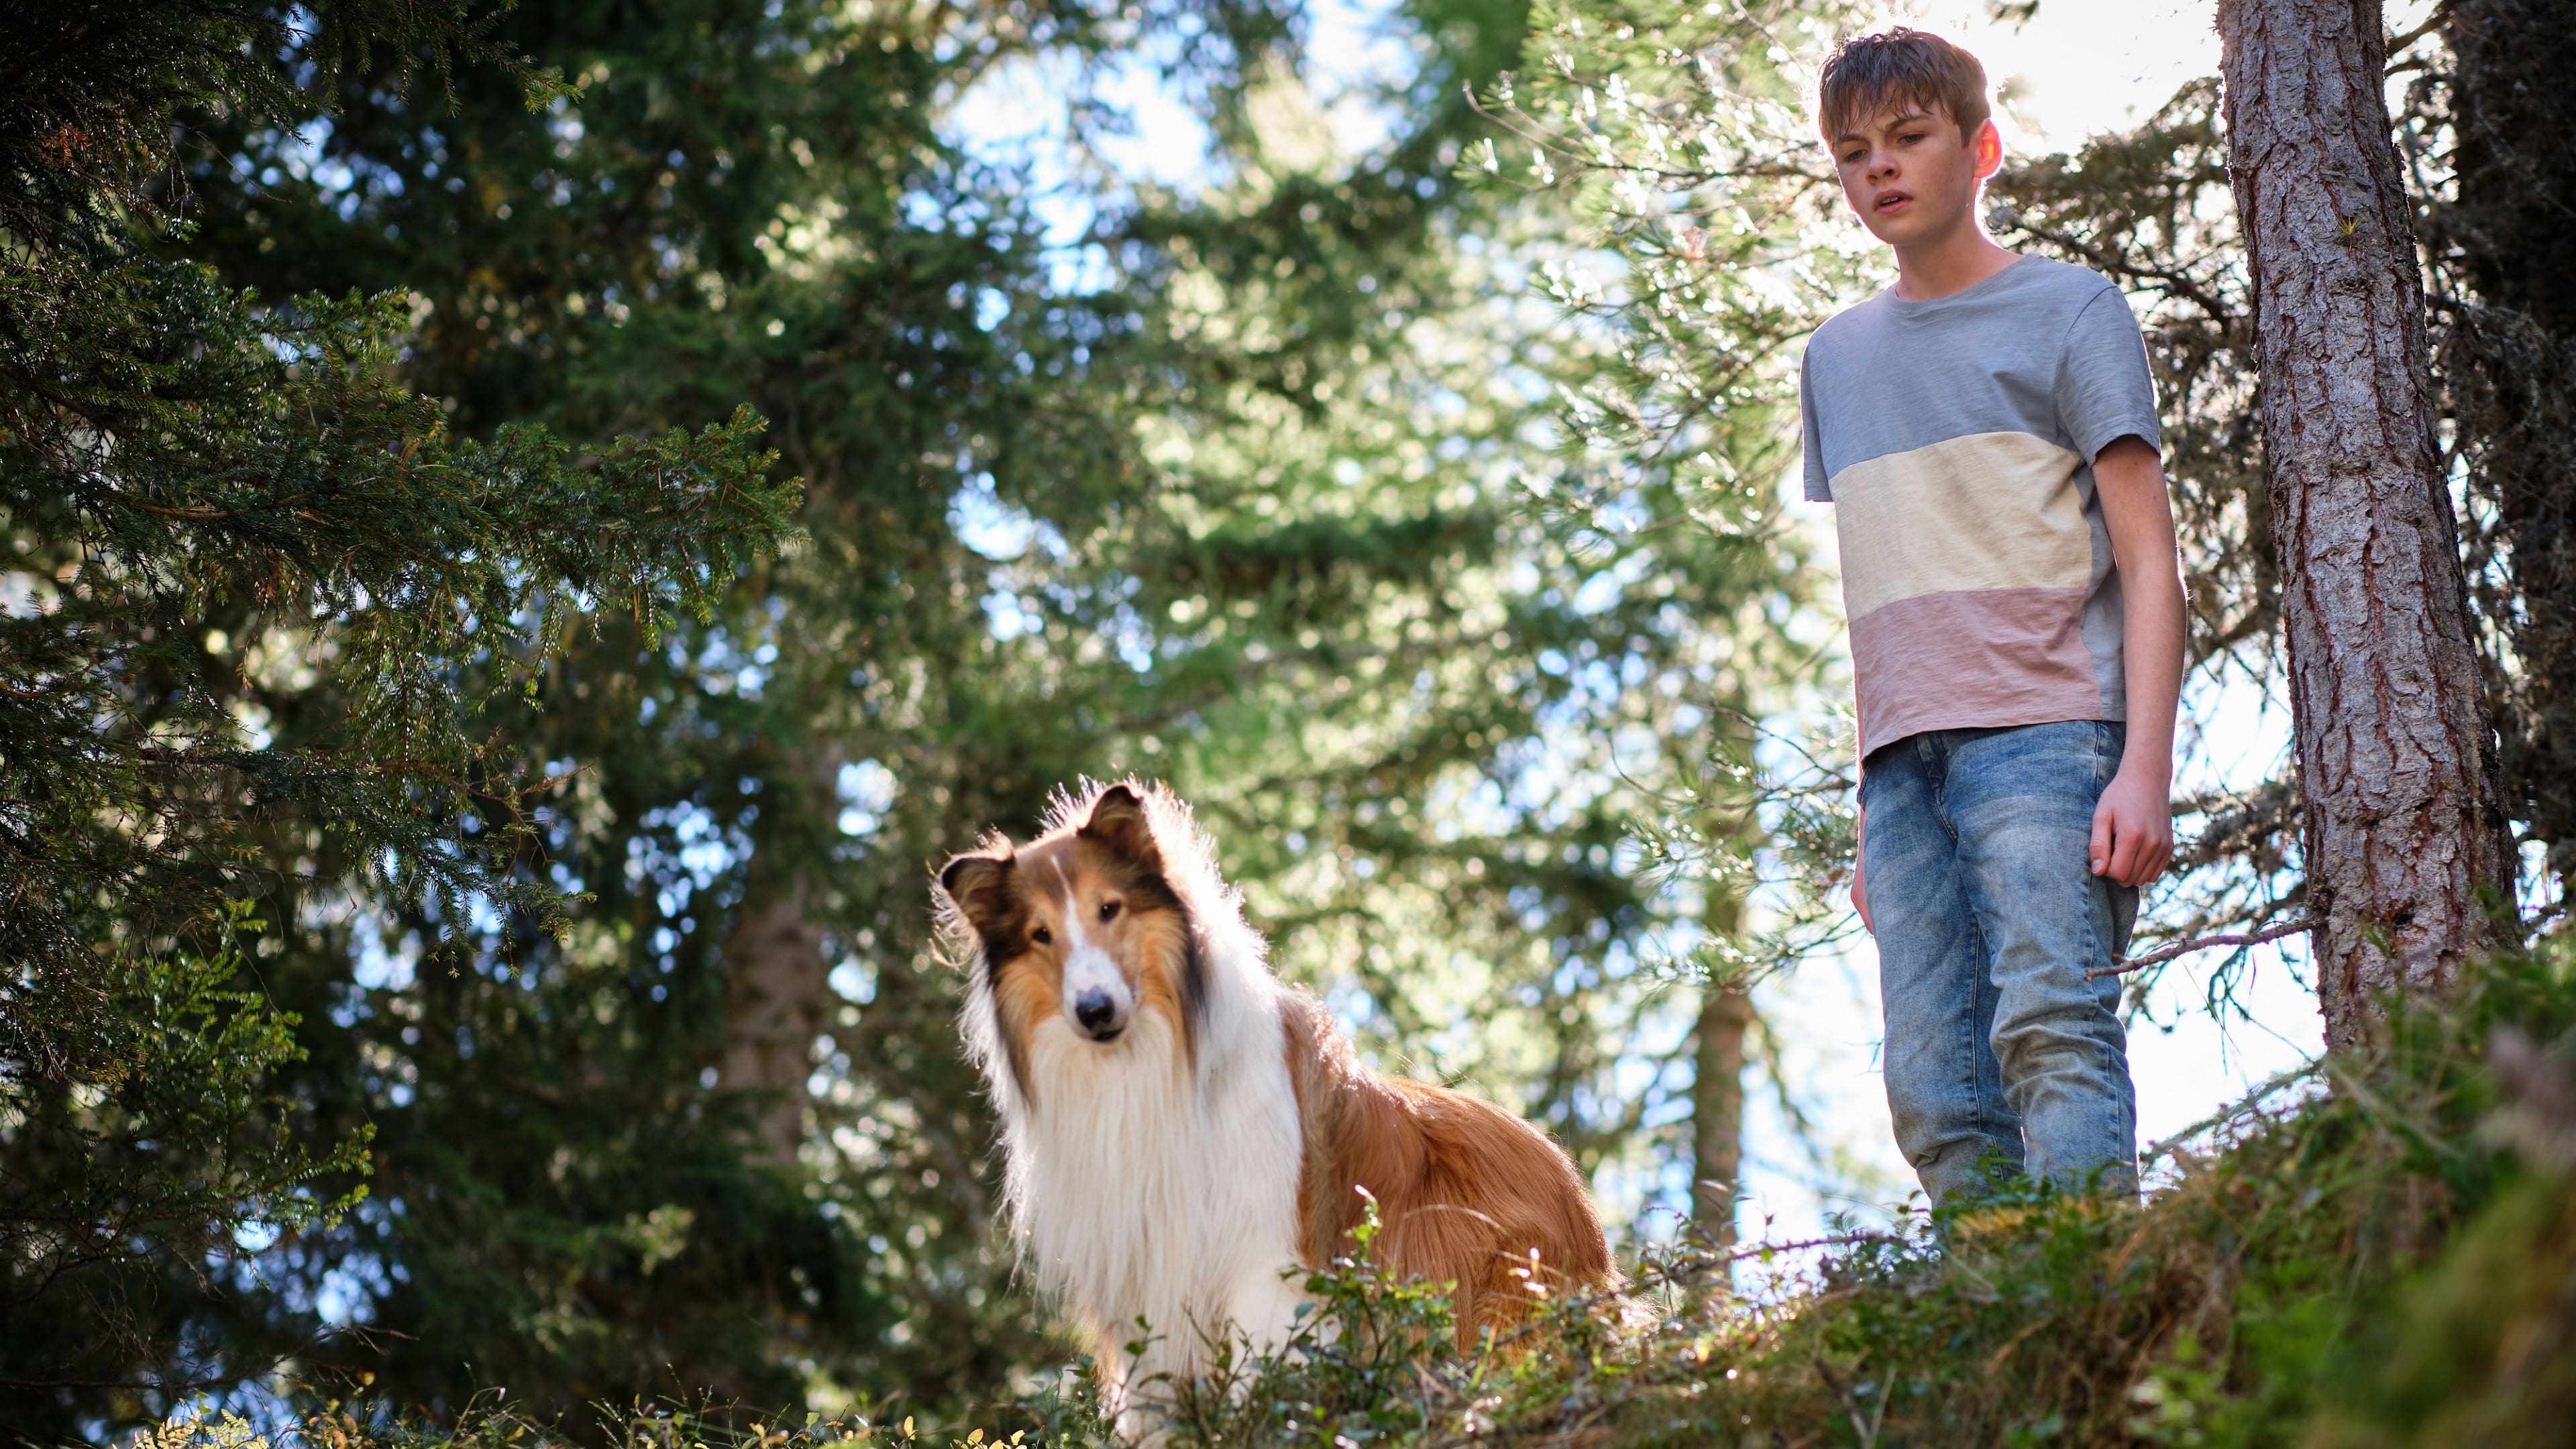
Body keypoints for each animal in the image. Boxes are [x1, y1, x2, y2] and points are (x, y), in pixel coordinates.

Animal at [927, 778, 1607, 1423]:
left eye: (1108, 909)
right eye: (1040, 934)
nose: (1094, 1011)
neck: (1145, 1065)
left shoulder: (1265, 1260)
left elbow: (1260, 1381)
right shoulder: (1137, 1271)